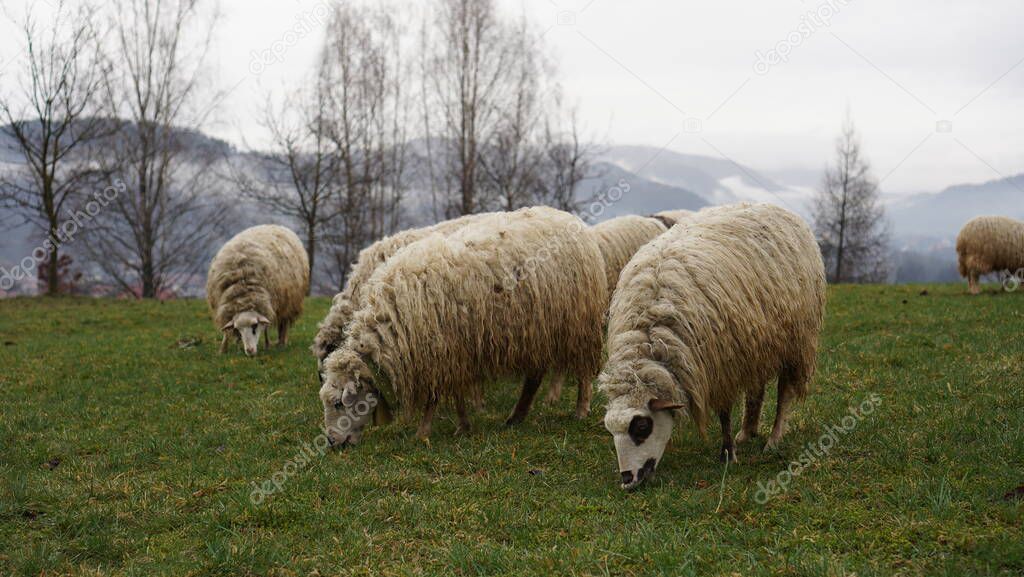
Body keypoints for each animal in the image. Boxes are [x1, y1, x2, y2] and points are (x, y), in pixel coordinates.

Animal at [203, 224, 307, 356]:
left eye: (254, 326)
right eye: (238, 329)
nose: (250, 351)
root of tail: (276, 225)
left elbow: (266, 327)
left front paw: (268, 344)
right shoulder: (224, 307)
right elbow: (226, 331)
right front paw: (223, 349)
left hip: (289, 302)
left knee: (284, 323)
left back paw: (281, 343)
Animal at [319, 208, 606, 446]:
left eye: (338, 403)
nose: (332, 442)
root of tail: (571, 219)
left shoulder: (442, 351)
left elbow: (435, 398)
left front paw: (423, 431)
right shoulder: (452, 353)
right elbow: (456, 394)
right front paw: (463, 425)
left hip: (580, 325)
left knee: (583, 371)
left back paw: (581, 409)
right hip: (538, 330)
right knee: (535, 376)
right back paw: (516, 416)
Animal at [598, 203, 823, 491]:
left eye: (641, 428)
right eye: (610, 430)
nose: (627, 480)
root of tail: (775, 207)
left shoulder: (721, 364)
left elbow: (724, 413)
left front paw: (727, 454)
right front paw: (732, 447)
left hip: (796, 343)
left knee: (785, 392)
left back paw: (773, 439)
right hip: (757, 341)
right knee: (756, 388)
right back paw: (747, 432)